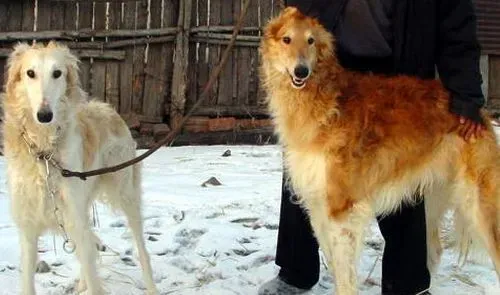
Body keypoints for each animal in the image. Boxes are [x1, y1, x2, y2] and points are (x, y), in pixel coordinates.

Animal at [1, 40, 157, 294]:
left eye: (57, 73)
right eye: (30, 73)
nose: (44, 115)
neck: (44, 153)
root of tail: (107, 107)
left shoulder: (73, 217)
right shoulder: (28, 228)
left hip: (125, 195)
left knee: (141, 249)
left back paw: (151, 286)